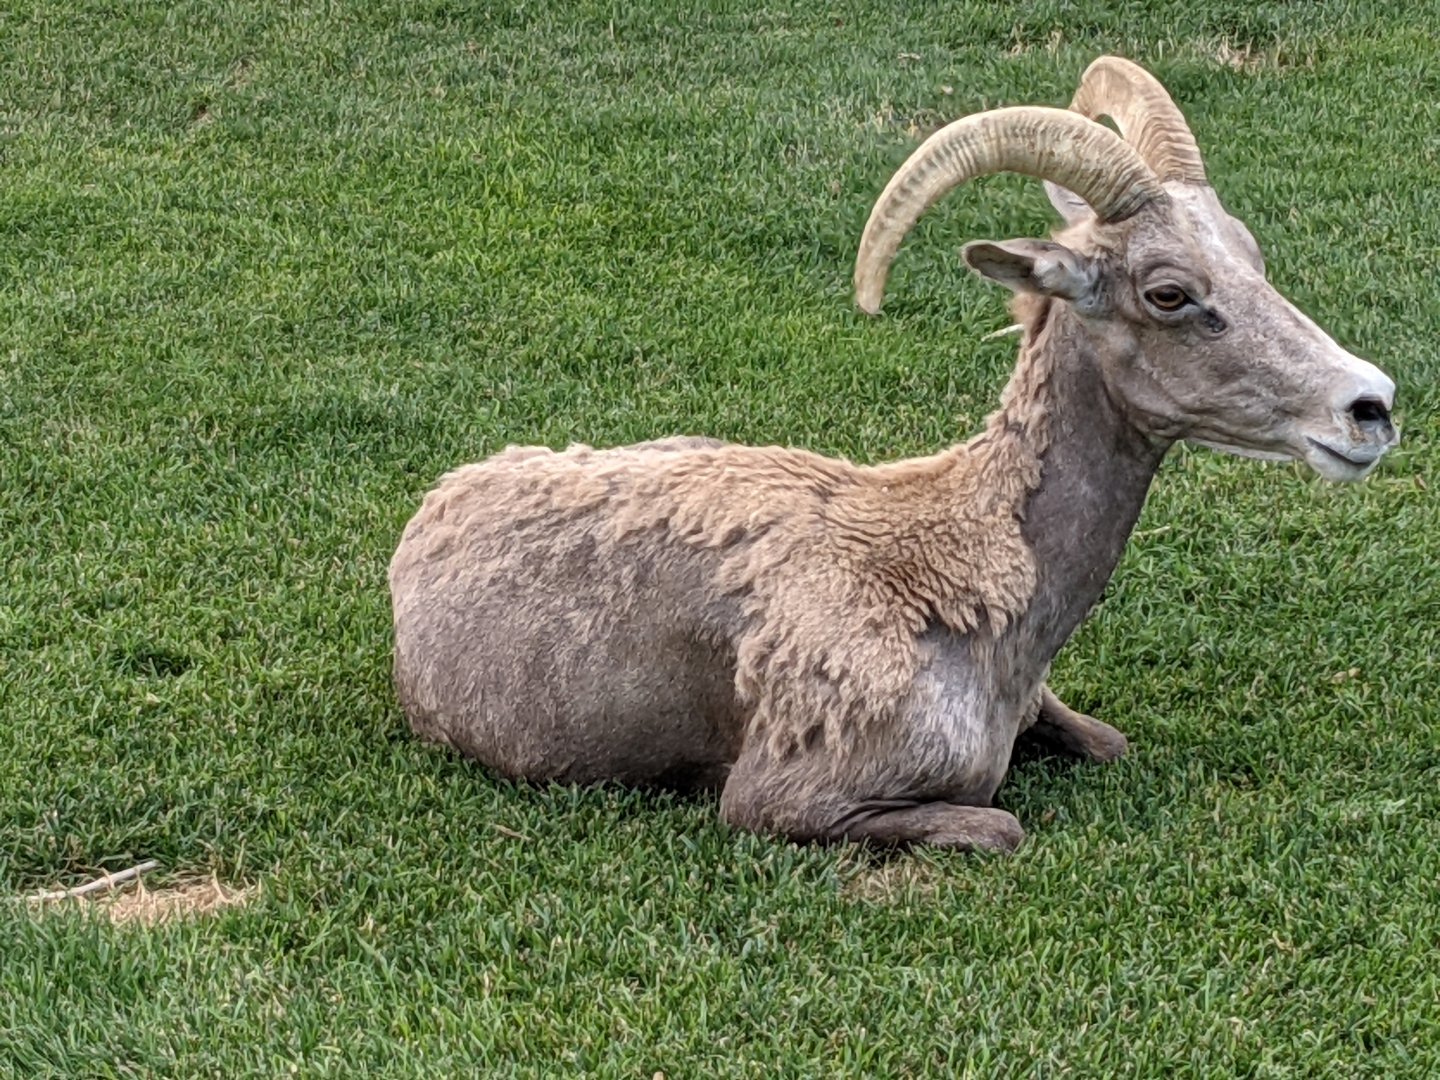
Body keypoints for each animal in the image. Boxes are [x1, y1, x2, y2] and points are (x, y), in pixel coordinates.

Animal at [389, 57, 1398, 851]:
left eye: (1251, 255)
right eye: (1169, 292)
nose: (1370, 407)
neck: (971, 594)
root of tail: (437, 507)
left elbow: (1108, 743)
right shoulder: (788, 801)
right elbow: (1000, 823)